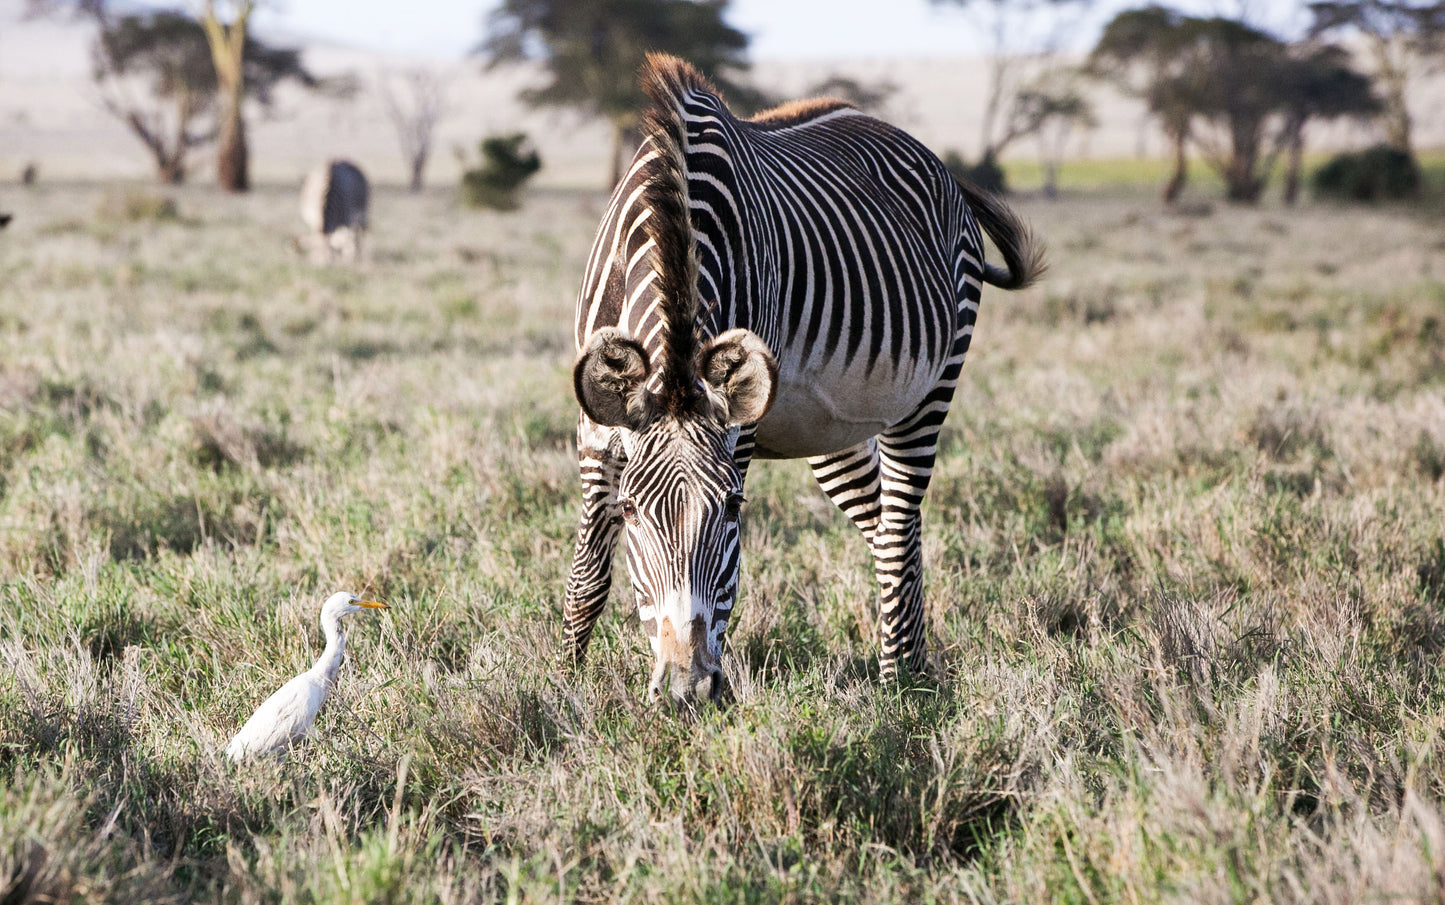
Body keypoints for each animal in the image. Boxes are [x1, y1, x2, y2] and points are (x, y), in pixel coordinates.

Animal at [565, 55, 1044, 703]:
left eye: (734, 508)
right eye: (632, 510)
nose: (688, 690)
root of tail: (932, 158)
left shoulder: (736, 436)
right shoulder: (595, 427)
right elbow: (587, 576)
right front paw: (560, 687)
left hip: (933, 383)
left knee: (899, 524)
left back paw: (900, 688)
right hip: (830, 428)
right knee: (886, 524)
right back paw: (919, 666)